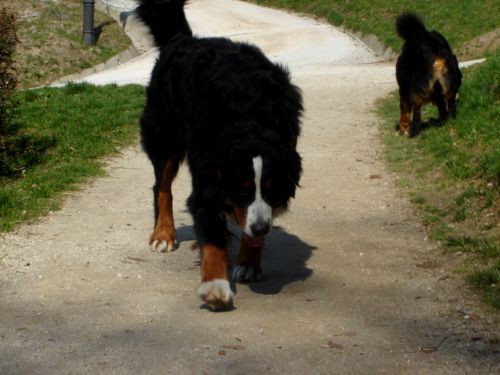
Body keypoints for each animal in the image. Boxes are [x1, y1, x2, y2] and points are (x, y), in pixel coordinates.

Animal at [135, 0, 302, 312]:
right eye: (242, 189)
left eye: (271, 190)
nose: (260, 229)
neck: (251, 120)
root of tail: (185, 40)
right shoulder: (207, 185)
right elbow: (213, 241)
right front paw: (215, 286)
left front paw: (248, 261)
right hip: (165, 136)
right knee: (162, 188)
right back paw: (163, 233)